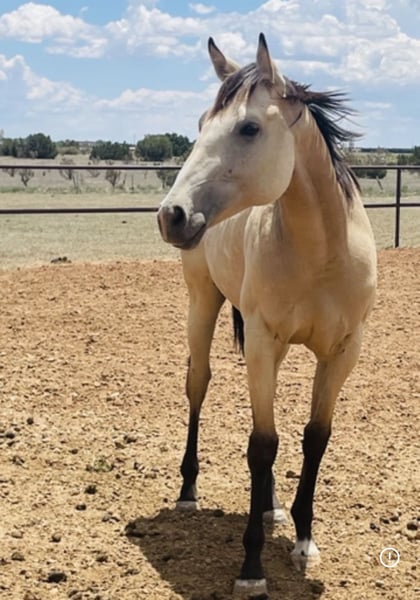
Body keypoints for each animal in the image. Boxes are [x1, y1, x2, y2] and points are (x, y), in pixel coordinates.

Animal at [157, 33, 377, 597]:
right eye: (199, 125)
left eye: (249, 127)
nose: (172, 215)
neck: (322, 253)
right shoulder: (261, 340)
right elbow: (262, 445)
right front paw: (252, 565)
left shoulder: (344, 351)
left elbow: (312, 438)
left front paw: (302, 539)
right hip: (203, 304)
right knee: (198, 383)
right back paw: (188, 491)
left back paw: (272, 507)